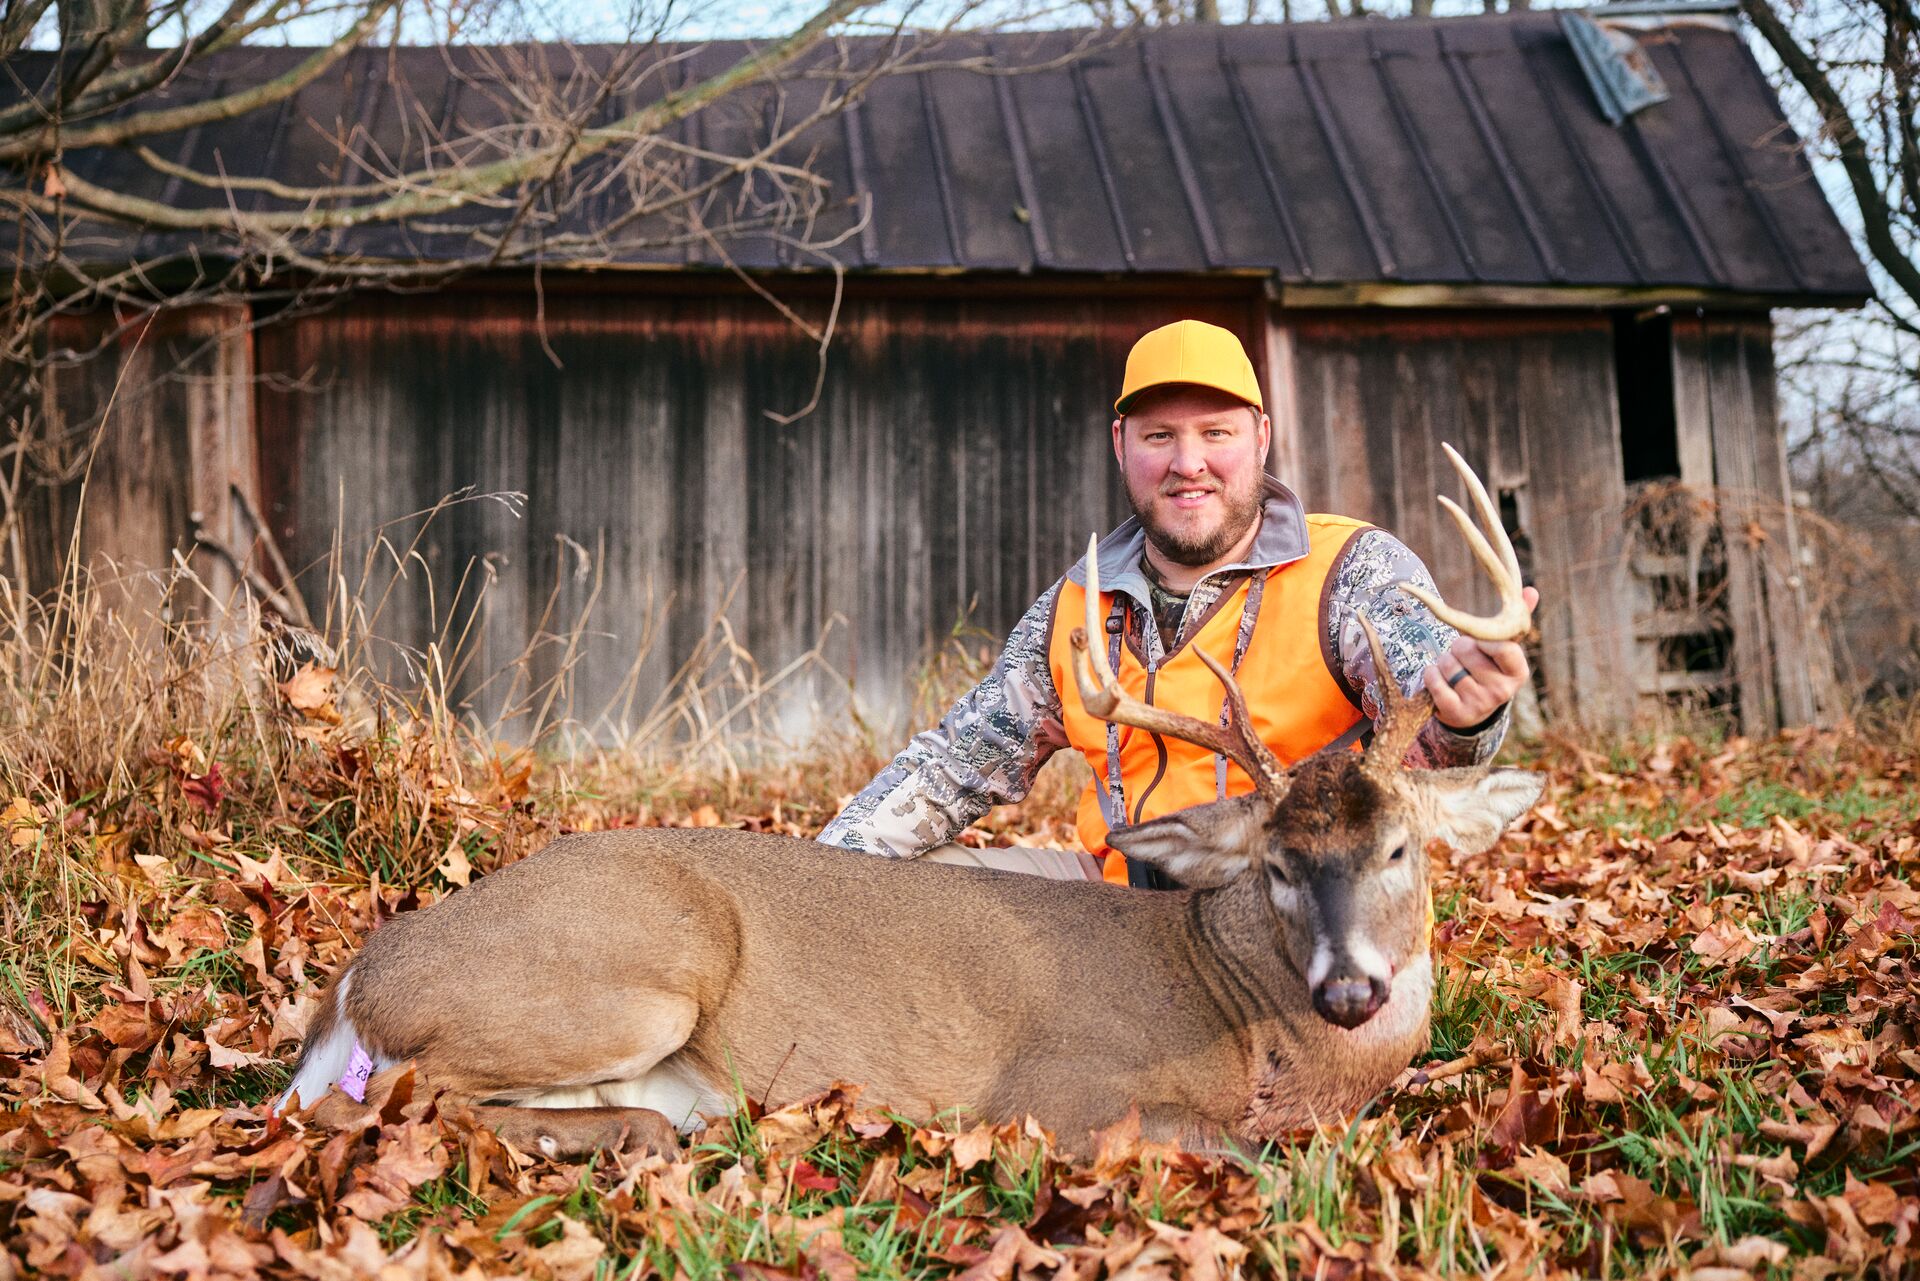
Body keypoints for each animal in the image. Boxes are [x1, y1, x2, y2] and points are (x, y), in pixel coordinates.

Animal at [283, 445, 1543, 1159]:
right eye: (1277, 865)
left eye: (1399, 850)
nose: (1349, 989)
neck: (1258, 1032)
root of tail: (354, 978)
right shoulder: (1059, 1089)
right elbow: (1239, 1154)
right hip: (629, 976)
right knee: (377, 1102)